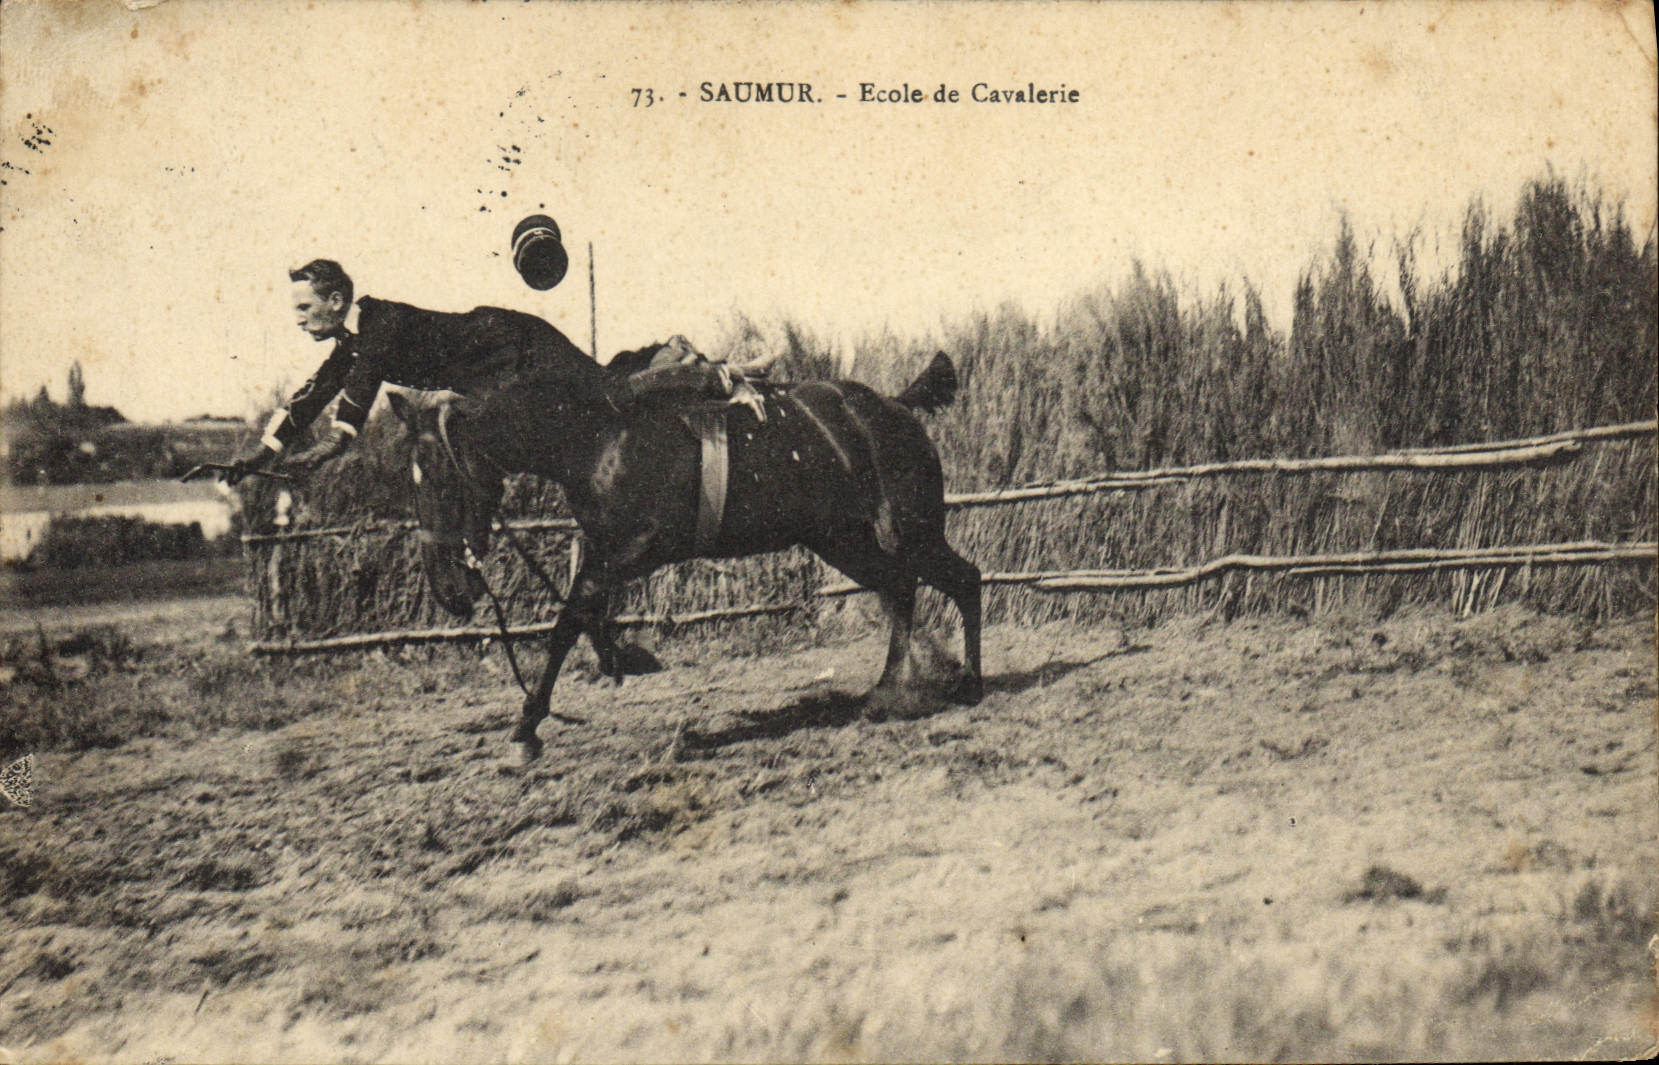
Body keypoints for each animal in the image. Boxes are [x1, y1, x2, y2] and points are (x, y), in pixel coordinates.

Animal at [386, 349, 982, 762]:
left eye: (438, 479)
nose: (448, 590)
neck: (599, 435)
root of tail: (896, 406)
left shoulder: (639, 547)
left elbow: (569, 619)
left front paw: (526, 727)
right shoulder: (603, 546)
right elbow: (585, 611)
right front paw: (615, 661)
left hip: (908, 532)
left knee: (963, 579)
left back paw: (965, 684)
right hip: (844, 541)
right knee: (902, 590)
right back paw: (891, 690)